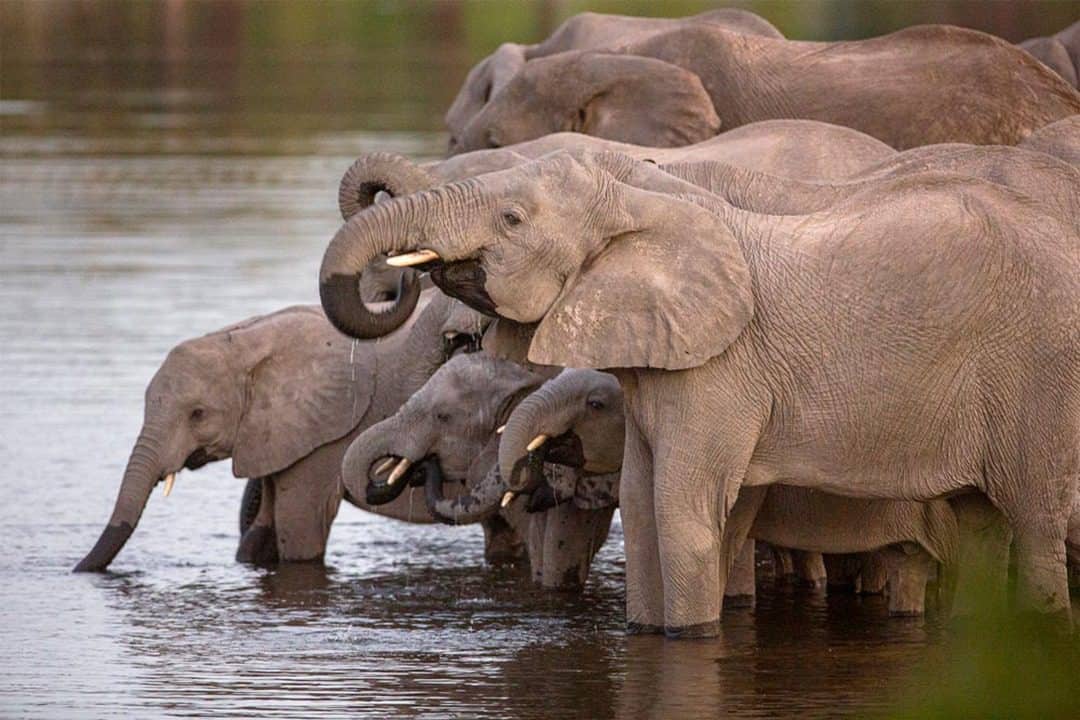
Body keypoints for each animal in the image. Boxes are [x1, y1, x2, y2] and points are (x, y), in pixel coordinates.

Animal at [74, 292, 491, 572]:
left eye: (197, 414)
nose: (75, 569)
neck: (247, 340)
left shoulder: (326, 437)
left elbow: (299, 531)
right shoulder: (275, 435)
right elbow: (262, 531)